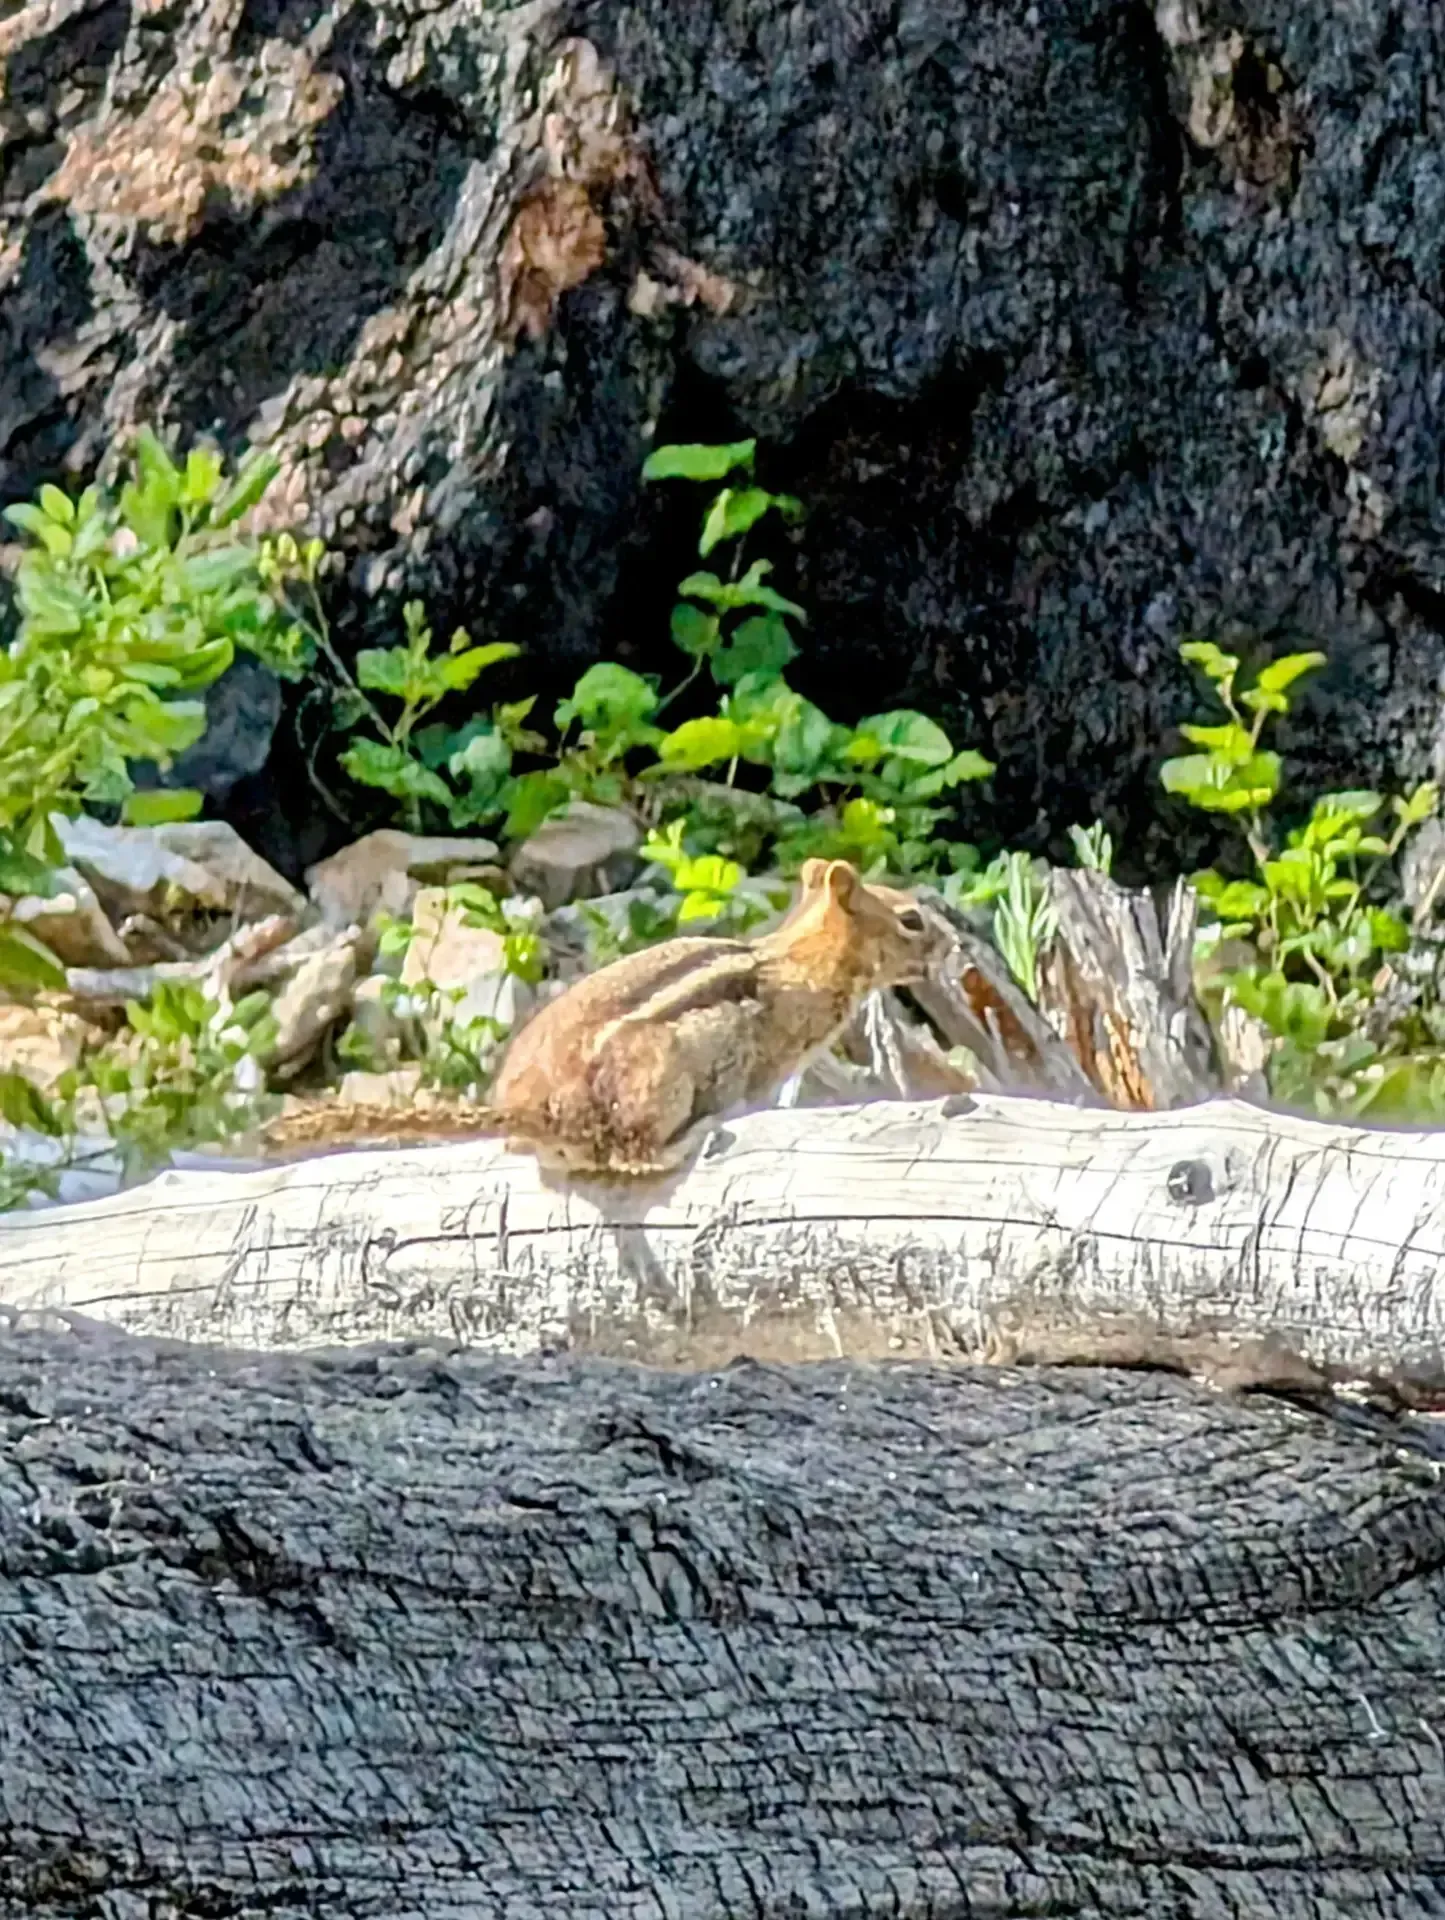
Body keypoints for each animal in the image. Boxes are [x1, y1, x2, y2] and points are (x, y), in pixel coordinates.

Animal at [251, 857, 952, 1179]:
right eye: (911, 920)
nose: (950, 946)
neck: (804, 957)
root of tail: (537, 1113)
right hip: (659, 1076)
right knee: (632, 1154)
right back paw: (690, 1138)